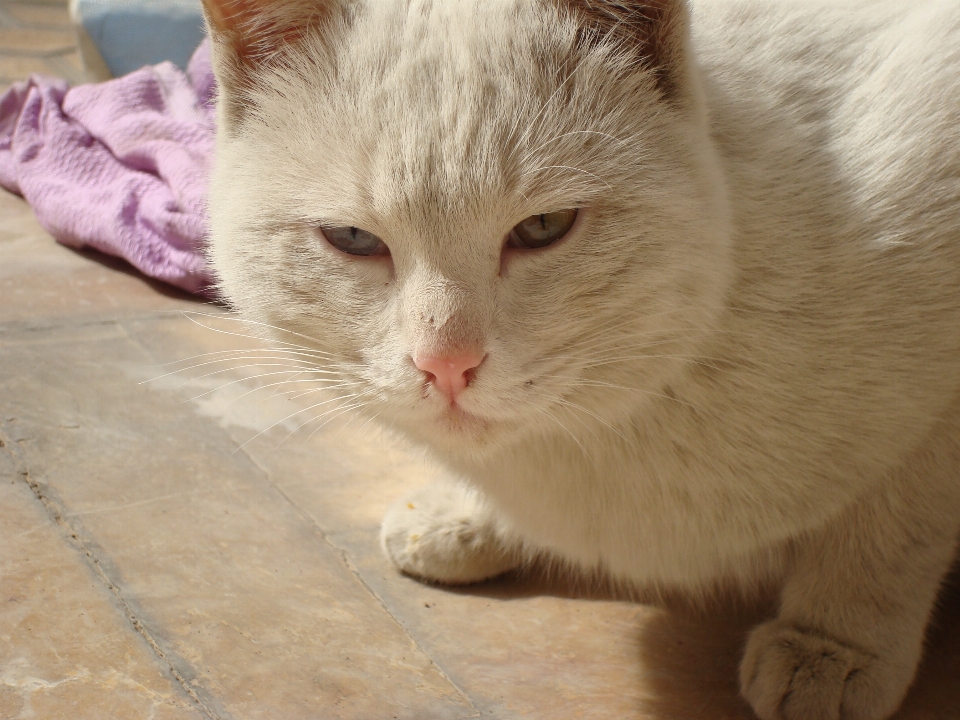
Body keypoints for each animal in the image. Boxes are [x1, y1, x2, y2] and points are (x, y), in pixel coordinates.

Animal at [199, 1, 960, 720]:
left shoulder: (934, 420)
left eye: (543, 227)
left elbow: (888, 533)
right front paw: (464, 519)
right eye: (353, 238)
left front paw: (832, 646)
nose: (446, 364)